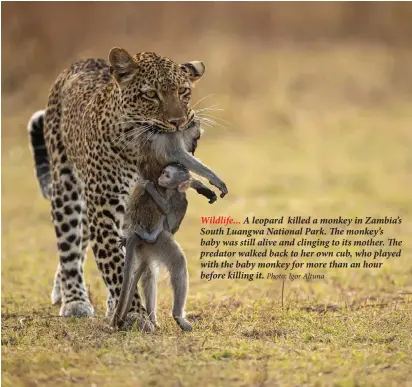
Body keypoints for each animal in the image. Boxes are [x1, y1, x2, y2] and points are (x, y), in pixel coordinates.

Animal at [111, 163, 217, 330]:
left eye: (167, 175)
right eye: (163, 172)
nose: (160, 177)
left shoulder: (172, 196)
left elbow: (167, 207)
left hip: (160, 240)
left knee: (171, 264)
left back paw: (175, 316)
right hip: (156, 242)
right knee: (154, 272)